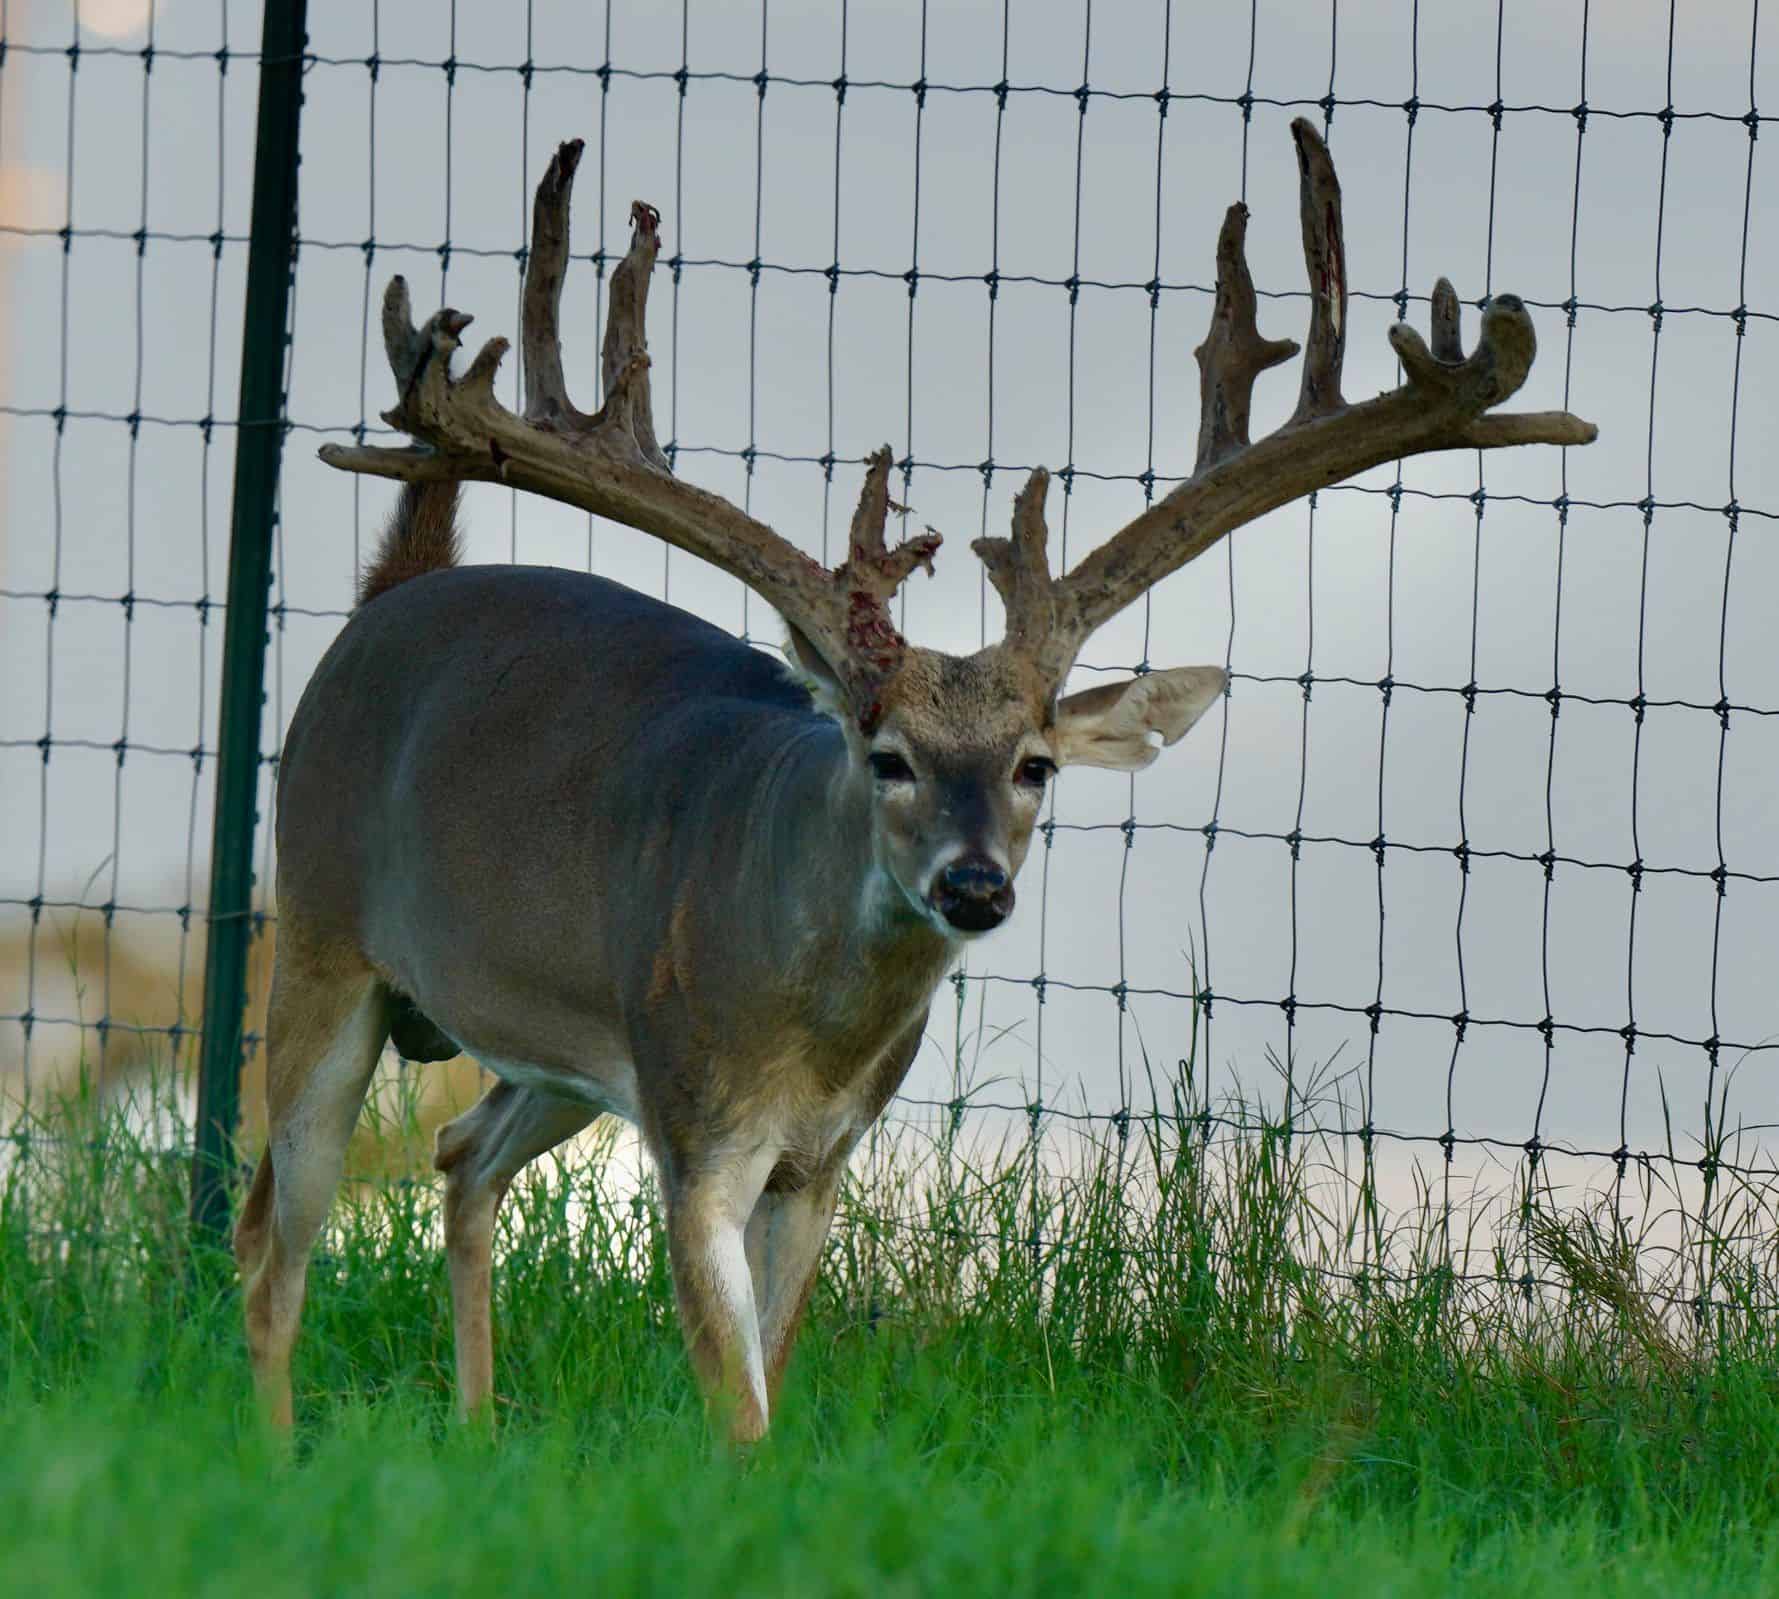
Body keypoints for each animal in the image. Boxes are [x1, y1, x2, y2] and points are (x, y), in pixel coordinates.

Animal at [235, 120, 1595, 1441]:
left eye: (1035, 764)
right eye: (884, 754)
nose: (975, 886)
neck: (808, 1034)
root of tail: (390, 593)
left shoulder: (817, 1162)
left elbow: (775, 1381)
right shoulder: (697, 1131)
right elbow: (739, 1408)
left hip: (553, 1046)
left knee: (461, 1157)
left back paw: (472, 1437)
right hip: (324, 936)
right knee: (271, 1243)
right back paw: (276, 1450)